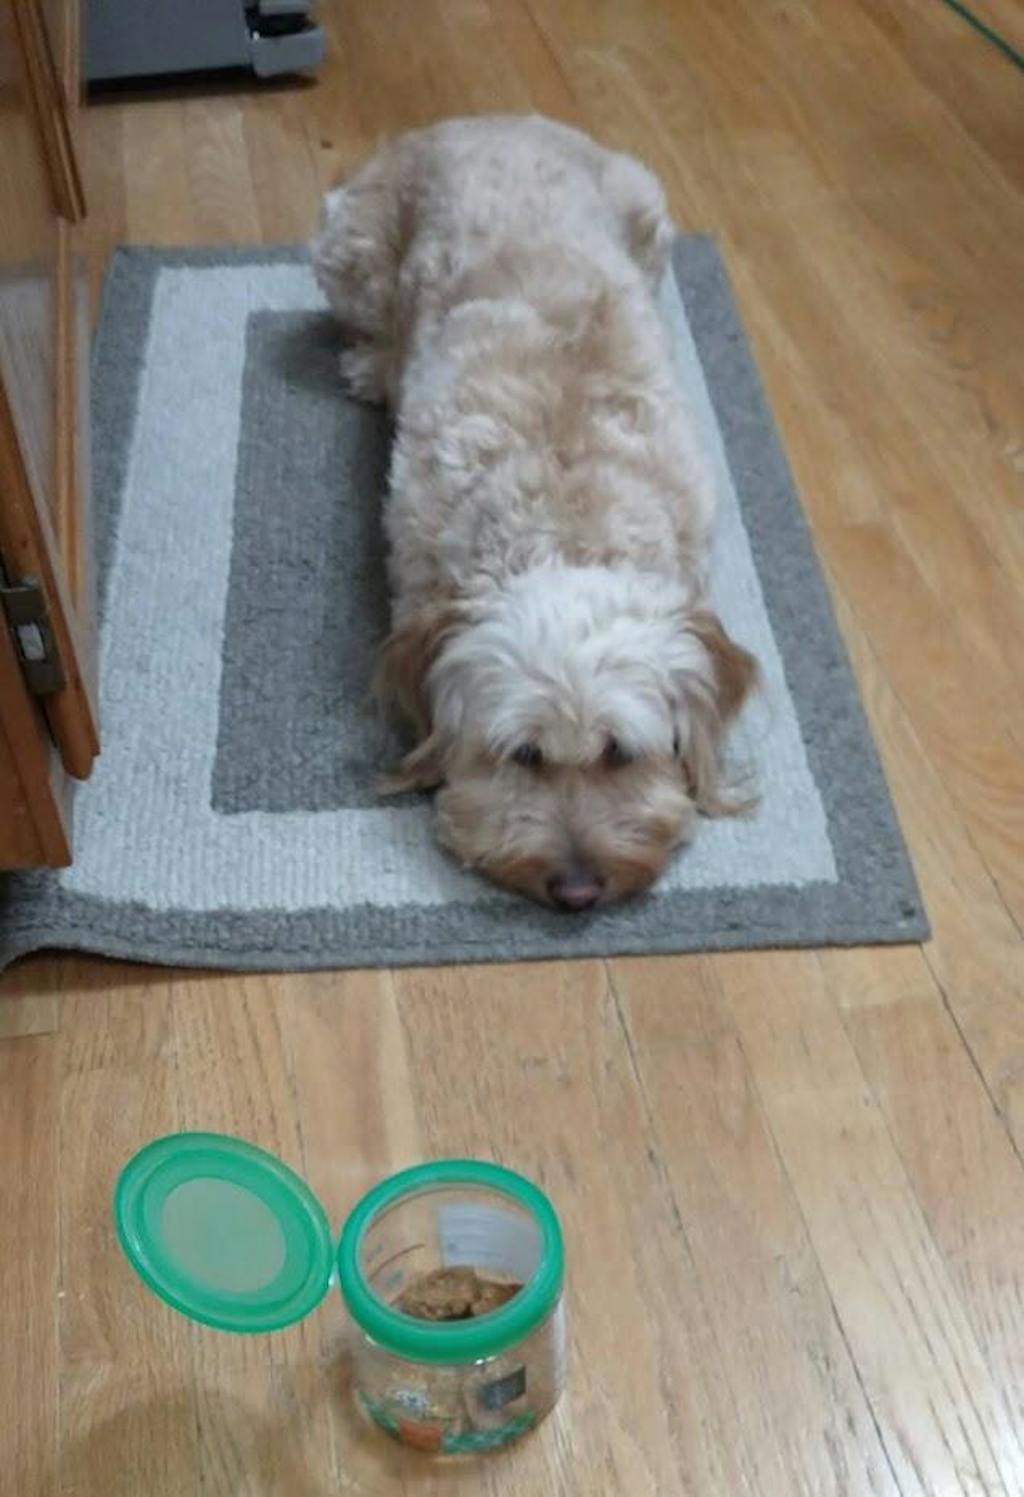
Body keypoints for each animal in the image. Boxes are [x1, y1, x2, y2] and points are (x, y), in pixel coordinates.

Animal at [312, 115, 757, 910]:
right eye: (521, 754)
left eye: (620, 752)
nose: (577, 888)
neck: (564, 529)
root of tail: (491, 119)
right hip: (348, 246)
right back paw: (374, 363)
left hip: (649, 211)